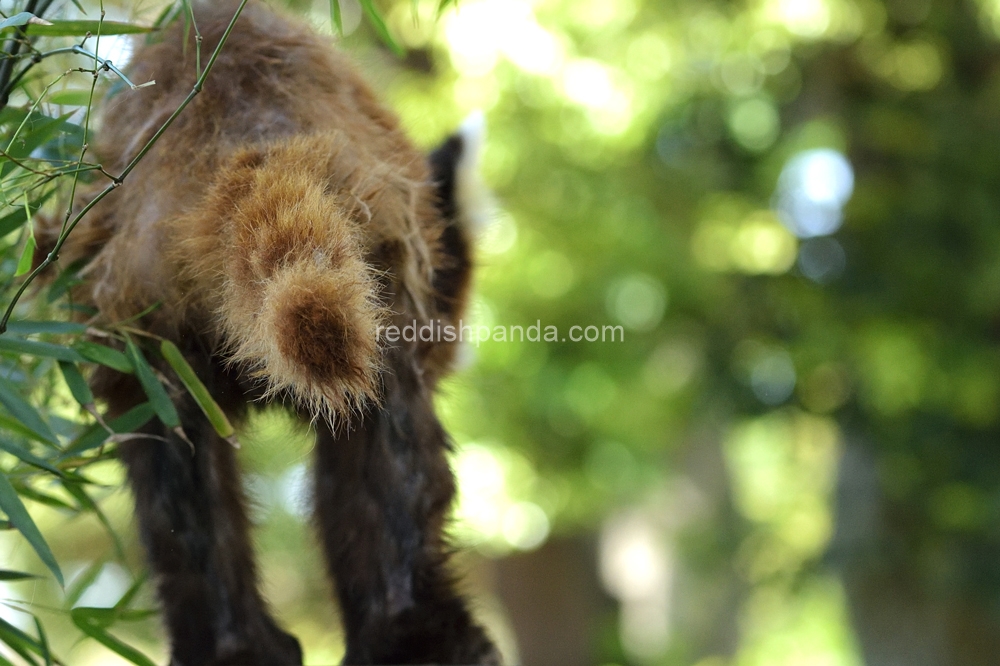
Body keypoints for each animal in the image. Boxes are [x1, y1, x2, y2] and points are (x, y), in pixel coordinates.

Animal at [38, 2, 500, 660]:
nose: (460, 352)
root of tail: (239, 123)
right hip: (374, 279)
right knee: (393, 452)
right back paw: (422, 630)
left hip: (144, 321)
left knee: (177, 477)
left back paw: (235, 646)